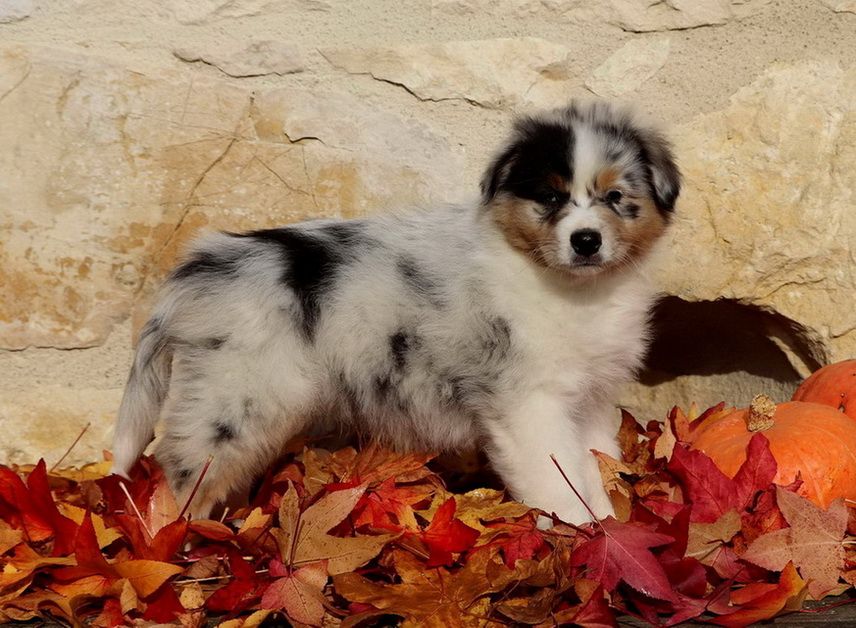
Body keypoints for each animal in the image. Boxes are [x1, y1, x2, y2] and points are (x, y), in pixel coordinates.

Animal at [111, 100, 680, 524]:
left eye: (616, 196)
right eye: (549, 197)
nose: (586, 241)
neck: (575, 290)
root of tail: (197, 270)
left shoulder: (591, 397)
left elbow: (597, 465)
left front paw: (612, 524)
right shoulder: (529, 403)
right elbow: (559, 482)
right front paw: (579, 536)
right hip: (237, 398)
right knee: (181, 470)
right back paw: (180, 544)